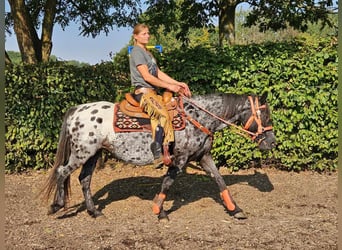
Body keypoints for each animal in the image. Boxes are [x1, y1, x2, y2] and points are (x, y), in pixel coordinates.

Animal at [43, 92, 278, 219]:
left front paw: (235, 209)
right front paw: (159, 210)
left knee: (85, 179)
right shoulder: (180, 160)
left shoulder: (203, 157)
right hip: (82, 153)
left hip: (93, 154)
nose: (272, 142)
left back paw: (94, 211)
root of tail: (76, 111)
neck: (198, 117)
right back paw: (56, 205)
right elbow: (167, 182)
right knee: (62, 172)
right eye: (265, 114)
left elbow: (219, 180)